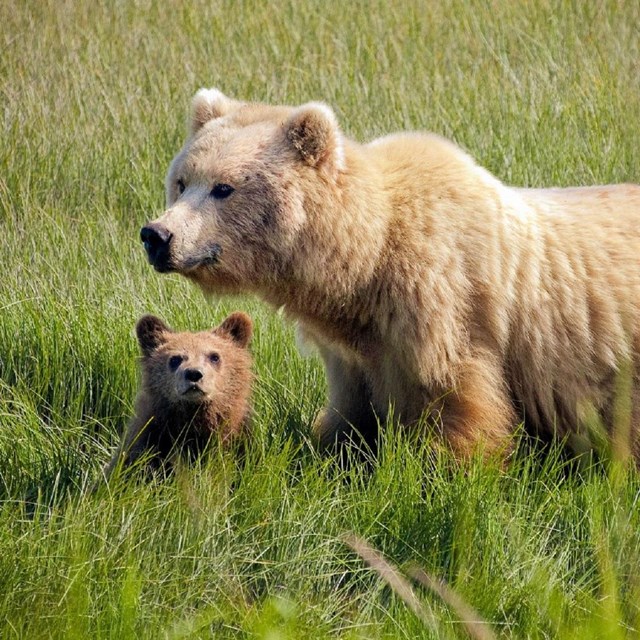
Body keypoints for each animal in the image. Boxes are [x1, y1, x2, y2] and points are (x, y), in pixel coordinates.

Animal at [140, 89, 640, 460]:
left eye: (223, 188)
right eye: (182, 181)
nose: (157, 235)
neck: (367, 257)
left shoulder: (444, 305)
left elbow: (457, 400)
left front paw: (452, 467)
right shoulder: (355, 345)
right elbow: (351, 410)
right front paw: (335, 448)